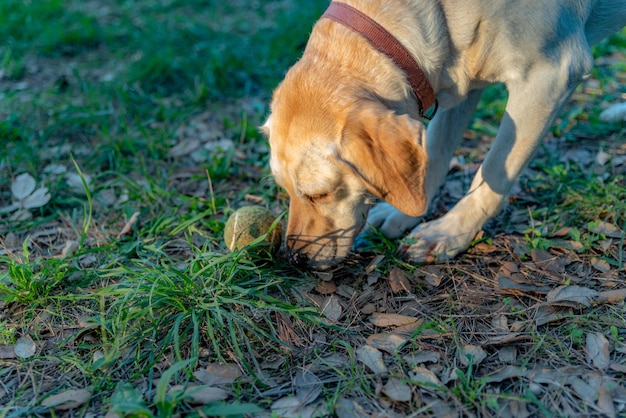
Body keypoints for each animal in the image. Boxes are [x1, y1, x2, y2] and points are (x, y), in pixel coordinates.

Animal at [264, 0, 624, 272]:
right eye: (286, 190)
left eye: (320, 194)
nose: (293, 258)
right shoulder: (460, 80)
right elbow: (434, 154)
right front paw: (404, 214)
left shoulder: (549, 75)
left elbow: (493, 170)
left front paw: (450, 232)